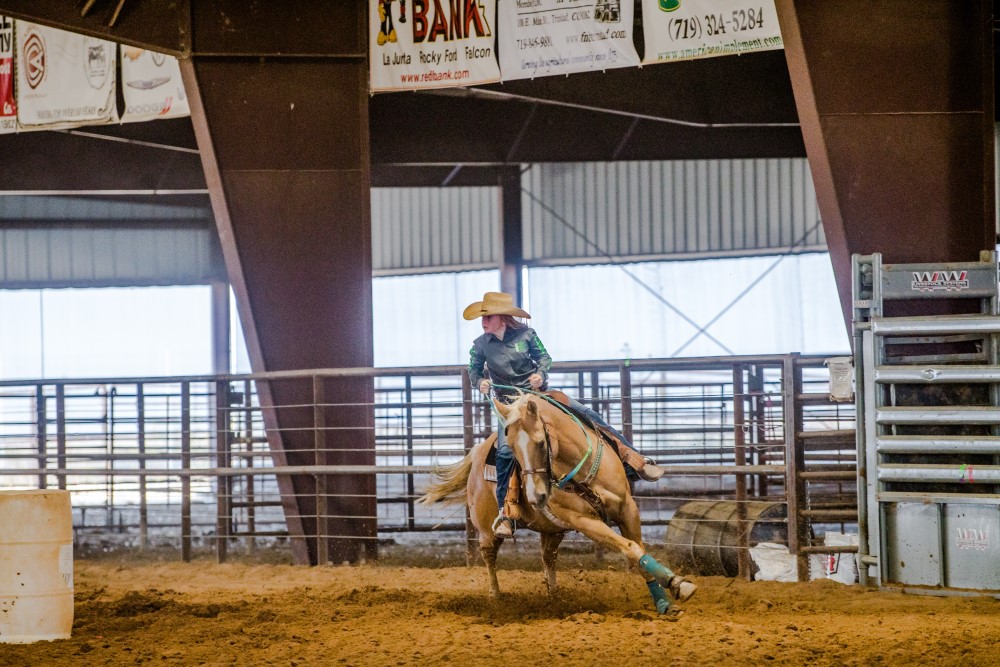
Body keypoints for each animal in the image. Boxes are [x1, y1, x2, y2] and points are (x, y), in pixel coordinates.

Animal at [420, 394, 696, 620]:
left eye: (541, 443)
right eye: (512, 449)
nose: (536, 496)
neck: (581, 468)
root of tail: (476, 452)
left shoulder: (627, 507)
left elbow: (639, 550)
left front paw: (665, 602)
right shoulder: (583, 521)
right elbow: (631, 549)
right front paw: (679, 584)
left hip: (551, 530)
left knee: (548, 557)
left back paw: (554, 597)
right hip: (487, 528)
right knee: (489, 556)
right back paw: (496, 599)